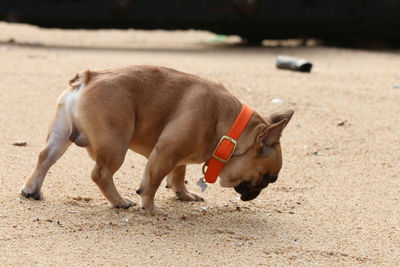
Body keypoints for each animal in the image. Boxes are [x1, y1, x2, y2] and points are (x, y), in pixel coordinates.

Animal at [21, 65, 294, 214]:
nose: (256, 194)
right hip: (115, 144)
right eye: (270, 178)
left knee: (44, 158)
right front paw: (151, 208)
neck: (229, 130)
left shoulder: (178, 155)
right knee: (100, 173)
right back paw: (120, 202)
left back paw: (32, 190)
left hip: (60, 135)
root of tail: (89, 77)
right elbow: (151, 183)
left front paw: (184, 194)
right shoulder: (166, 152)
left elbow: (178, 175)